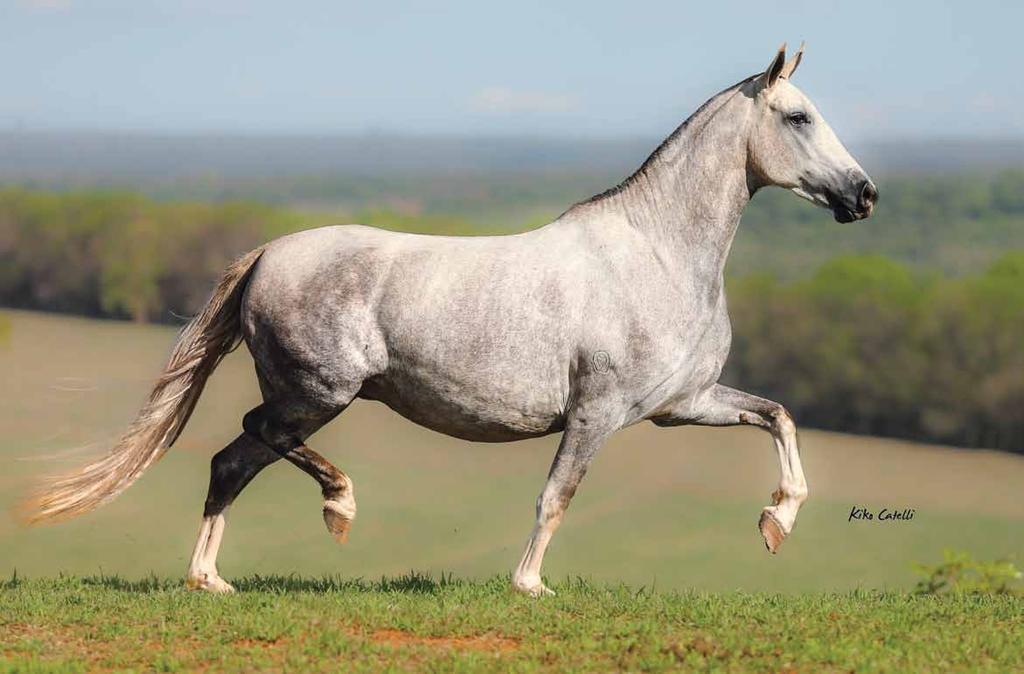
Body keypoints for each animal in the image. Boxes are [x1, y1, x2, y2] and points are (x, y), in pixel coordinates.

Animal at [29, 45, 880, 594]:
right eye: (798, 117)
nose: (864, 195)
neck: (657, 254)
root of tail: (267, 254)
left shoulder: (682, 405)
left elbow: (779, 416)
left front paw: (776, 523)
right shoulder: (597, 412)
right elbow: (557, 494)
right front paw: (529, 585)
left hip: (310, 397)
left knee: (231, 462)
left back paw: (209, 579)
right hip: (318, 392)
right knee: (252, 440)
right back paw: (338, 508)